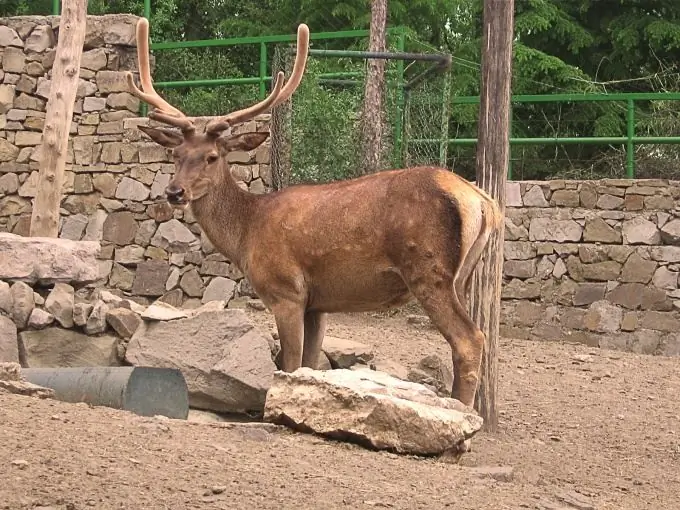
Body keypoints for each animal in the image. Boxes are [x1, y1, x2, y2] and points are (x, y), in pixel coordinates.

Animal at [125, 17, 502, 414]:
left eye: (212, 157)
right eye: (176, 154)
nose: (174, 192)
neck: (246, 233)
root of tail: (483, 202)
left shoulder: (286, 290)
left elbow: (289, 364)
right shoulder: (318, 304)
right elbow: (310, 364)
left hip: (429, 271)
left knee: (470, 339)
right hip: (463, 276)